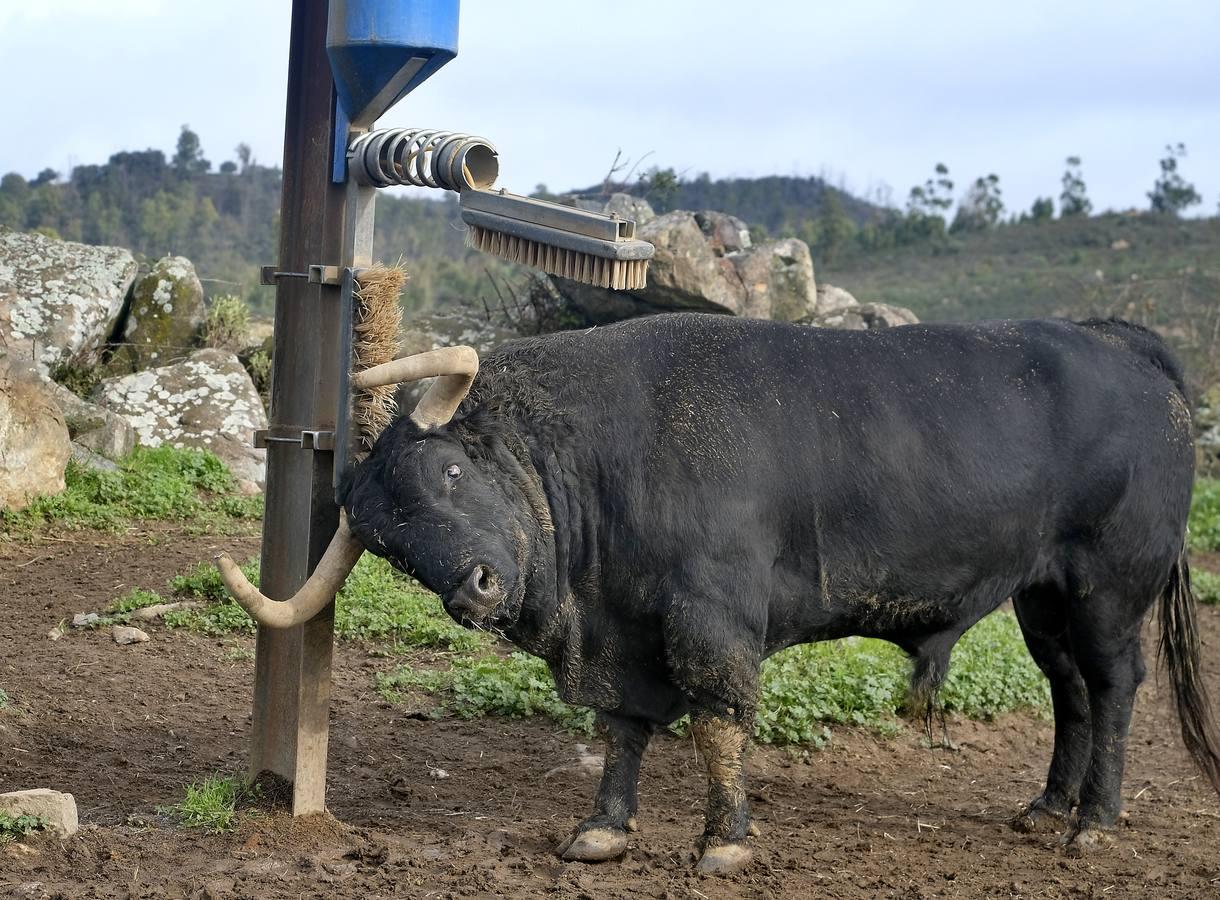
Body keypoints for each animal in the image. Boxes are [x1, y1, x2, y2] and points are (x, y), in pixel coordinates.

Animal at [339, 314, 1215, 868]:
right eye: (390, 548)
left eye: (451, 471)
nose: (475, 590)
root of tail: (1120, 344)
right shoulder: (625, 633)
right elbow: (622, 728)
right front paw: (604, 829)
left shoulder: (710, 615)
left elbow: (718, 722)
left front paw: (724, 840)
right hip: (1042, 597)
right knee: (1069, 691)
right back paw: (1048, 807)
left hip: (1109, 589)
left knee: (1113, 688)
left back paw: (1094, 823)